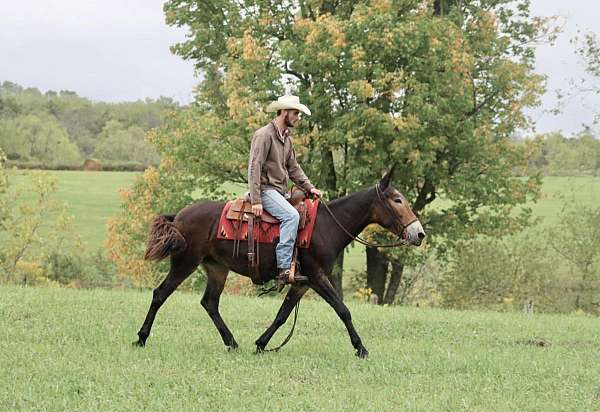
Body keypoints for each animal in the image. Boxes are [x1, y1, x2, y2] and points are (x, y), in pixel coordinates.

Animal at [137, 169, 426, 358]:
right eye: (397, 200)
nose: (419, 233)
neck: (326, 226)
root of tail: (179, 215)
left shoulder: (302, 282)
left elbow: (283, 314)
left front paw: (261, 344)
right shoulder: (317, 277)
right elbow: (343, 310)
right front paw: (360, 348)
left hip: (217, 268)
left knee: (209, 303)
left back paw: (232, 342)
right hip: (184, 263)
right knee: (160, 294)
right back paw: (141, 338)